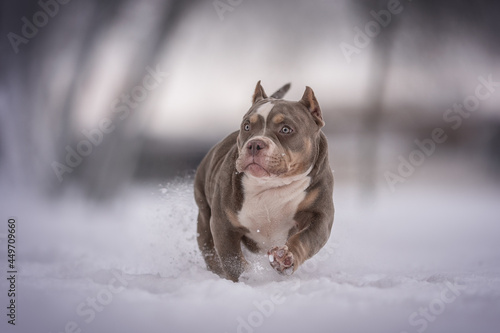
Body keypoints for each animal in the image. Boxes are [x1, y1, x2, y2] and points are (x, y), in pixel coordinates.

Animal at [193, 80, 334, 280]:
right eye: (247, 127)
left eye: (286, 129)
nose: (255, 144)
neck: (271, 184)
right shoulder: (222, 224)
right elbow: (231, 259)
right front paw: (243, 278)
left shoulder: (320, 215)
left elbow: (305, 238)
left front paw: (284, 258)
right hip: (204, 214)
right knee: (209, 249)